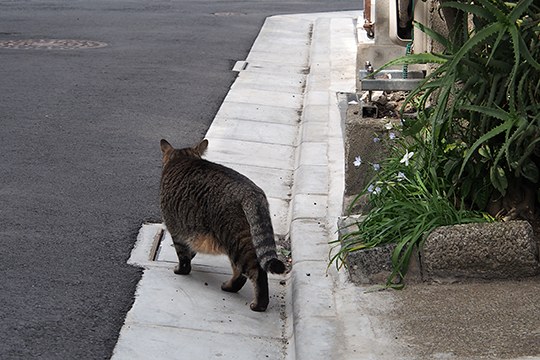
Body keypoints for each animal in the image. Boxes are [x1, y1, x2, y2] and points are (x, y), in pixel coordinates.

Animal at [159, 139, 286, 312]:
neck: (183, 159)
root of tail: (252, 193)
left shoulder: (176, 229)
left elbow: (183, 256)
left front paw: (181, 270)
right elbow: (190, 251)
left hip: (235, 241)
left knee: (255, 272)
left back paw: (259, 304)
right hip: (242, 240)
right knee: (240, 272)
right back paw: (229, 287)